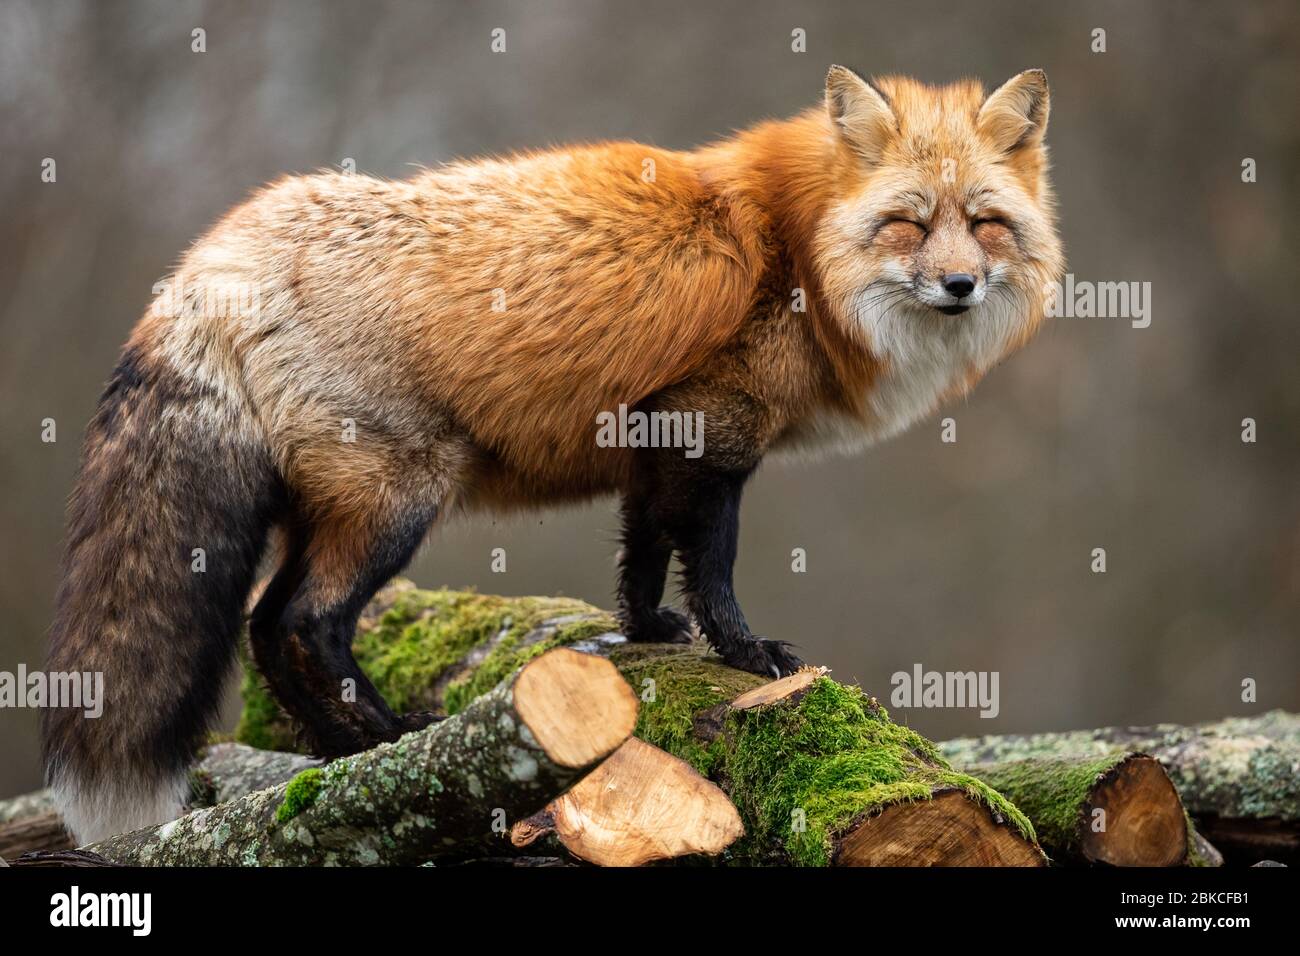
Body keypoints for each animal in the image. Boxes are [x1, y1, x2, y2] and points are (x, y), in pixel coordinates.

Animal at [42, 66, 1063, 844]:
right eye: (908, 222)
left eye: (985, 223)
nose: (961, 284)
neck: (797, 250)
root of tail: (214, 257)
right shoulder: (715, 422)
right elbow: (714, 564)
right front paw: (745, 654)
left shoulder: (656, 432)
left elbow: (644, 551)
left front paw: (646, 630)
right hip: (399, 498)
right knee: (302, 623)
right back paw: (388, 743)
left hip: (335, 504)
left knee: (265, 627)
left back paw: (342, 756)